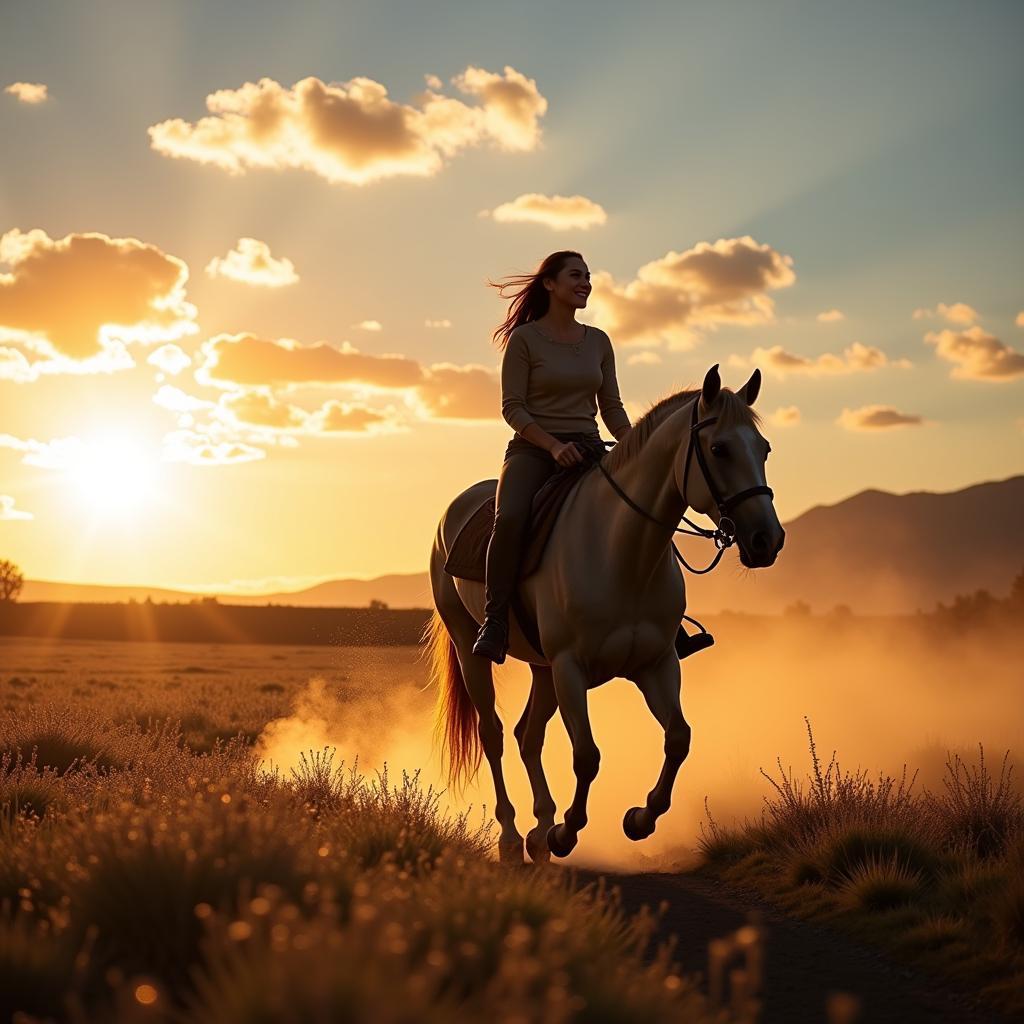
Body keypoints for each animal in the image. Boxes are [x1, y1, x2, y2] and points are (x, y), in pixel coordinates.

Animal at [423, 364, 782, 860]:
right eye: (719, 449)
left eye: (763, 449)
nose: (768, 540)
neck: (622, 552)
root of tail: (452, 513)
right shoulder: (571, 668)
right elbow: (587, 755)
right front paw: (567, 832)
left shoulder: (656, 664)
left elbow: (679, 738)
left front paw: (639, 819)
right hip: (470, 647)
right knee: (492, 735)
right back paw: (513, 836)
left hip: (542, 668)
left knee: (527, 736)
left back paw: (538, 831)